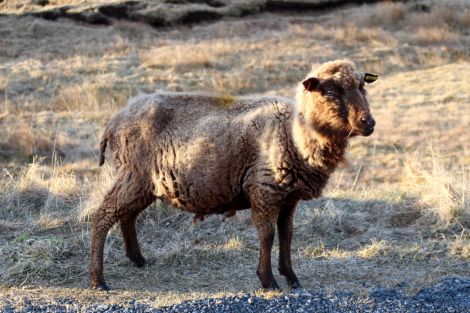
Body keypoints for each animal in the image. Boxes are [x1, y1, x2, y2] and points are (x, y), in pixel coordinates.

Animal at [89, 59, 378, 290]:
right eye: (329, 91)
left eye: (362, 87)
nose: (369, 123)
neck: (294, 134)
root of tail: (115, 120)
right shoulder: (264, 190)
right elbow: (267, 235)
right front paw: (268, 281)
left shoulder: (289, 198)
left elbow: (287, 235)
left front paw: (291, 277)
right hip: (133, 175)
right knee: (103, 216)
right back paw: (98, 280)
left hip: (144, 182)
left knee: (127, 216)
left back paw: (137, 259)